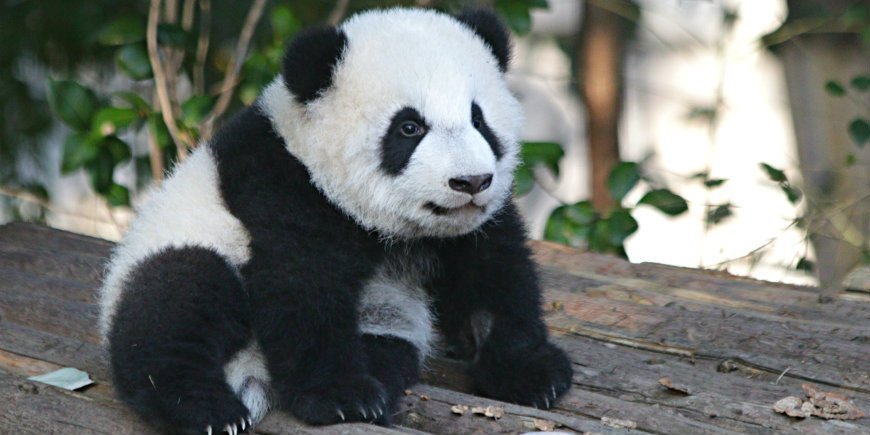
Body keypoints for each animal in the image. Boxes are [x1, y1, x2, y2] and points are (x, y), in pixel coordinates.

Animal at [100, 7, 573, 434]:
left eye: (479, 119)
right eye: (409, 128)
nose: (471, 182)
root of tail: (252, 373)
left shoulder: (469, 228)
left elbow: (493, 275)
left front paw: (533, 374)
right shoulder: (280, 188)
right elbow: (302, 288)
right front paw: (342, 397)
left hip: (385, 323)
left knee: (388, 342)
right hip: (184, 243)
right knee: (177, 297)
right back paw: (207, 409)